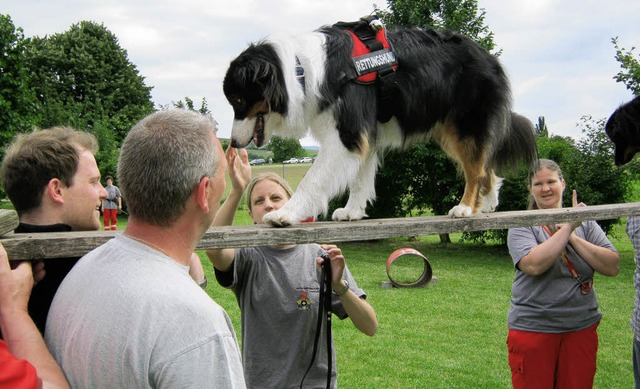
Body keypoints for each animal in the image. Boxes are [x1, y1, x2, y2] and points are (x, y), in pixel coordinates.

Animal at [222, 16, 536, 226]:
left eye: (238, 100)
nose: (233, 143)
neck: (298, 72)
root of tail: (490, 57)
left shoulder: (347, 133)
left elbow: (313, 178)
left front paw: (286, 213)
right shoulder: (365, 134)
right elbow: (361, 179)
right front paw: (352, 211)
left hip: (463, 126)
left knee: (475, 169)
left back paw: (466, 208)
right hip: (450, 130)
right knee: (486, 167)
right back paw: (487, 204)